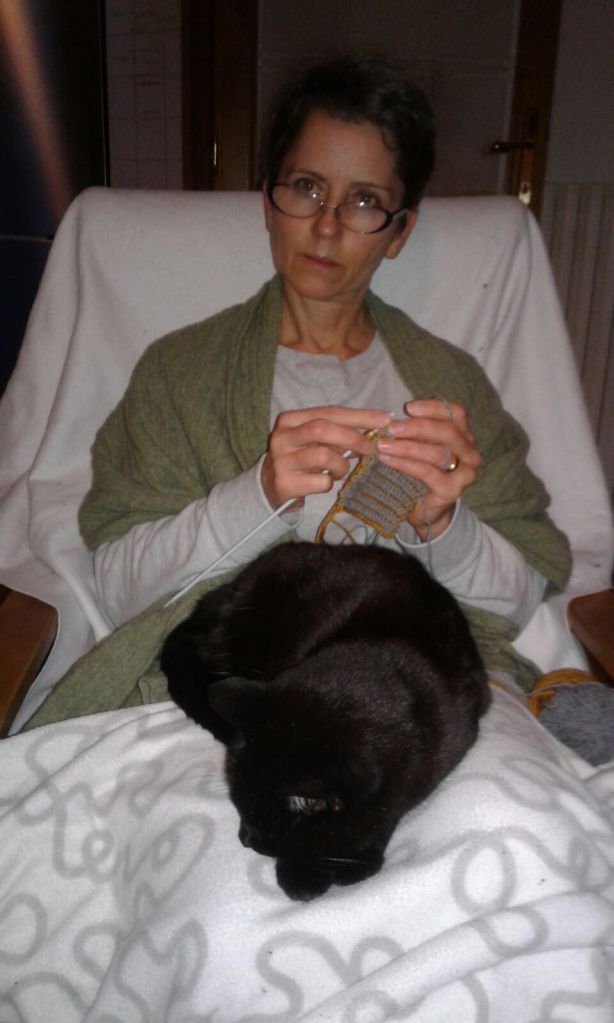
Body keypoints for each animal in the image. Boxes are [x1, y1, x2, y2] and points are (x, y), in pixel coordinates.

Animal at [160, 541, 490, 901]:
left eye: (262, 823)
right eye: (238, 806)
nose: (245, 840)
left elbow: (390, 809)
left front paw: (346, 861)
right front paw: (309, 872)